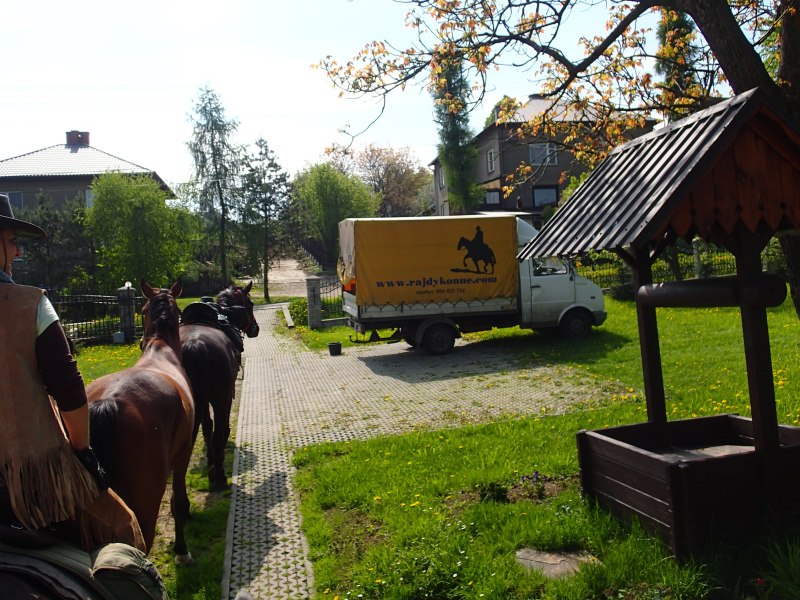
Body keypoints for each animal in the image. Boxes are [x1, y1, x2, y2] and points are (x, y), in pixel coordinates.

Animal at [87, 279, 195, 564]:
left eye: (143, 309)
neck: (161, 350)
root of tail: (109, 401)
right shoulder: (183, 454)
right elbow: (177, 501)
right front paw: (182, 550)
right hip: (146, 502)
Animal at [180, 281, 259, 490]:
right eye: (250, 304)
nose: (255, 329)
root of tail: (194, 345)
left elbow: (207, 427)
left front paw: (210, 462)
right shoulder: (225, 394)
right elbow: (218, 428)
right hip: (220, 398)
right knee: (217, 431)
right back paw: (221, 476)